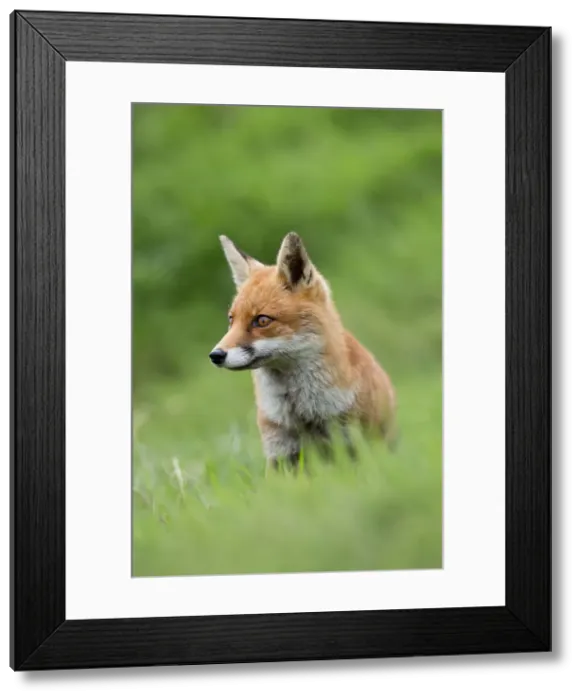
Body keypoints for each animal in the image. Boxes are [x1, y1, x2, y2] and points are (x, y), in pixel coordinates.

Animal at [209, 232, 398, 471]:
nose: (216, 355)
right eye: (231, 320)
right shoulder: (279, 455)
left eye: (261, 320)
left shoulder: (355, 446)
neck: (303, 413)